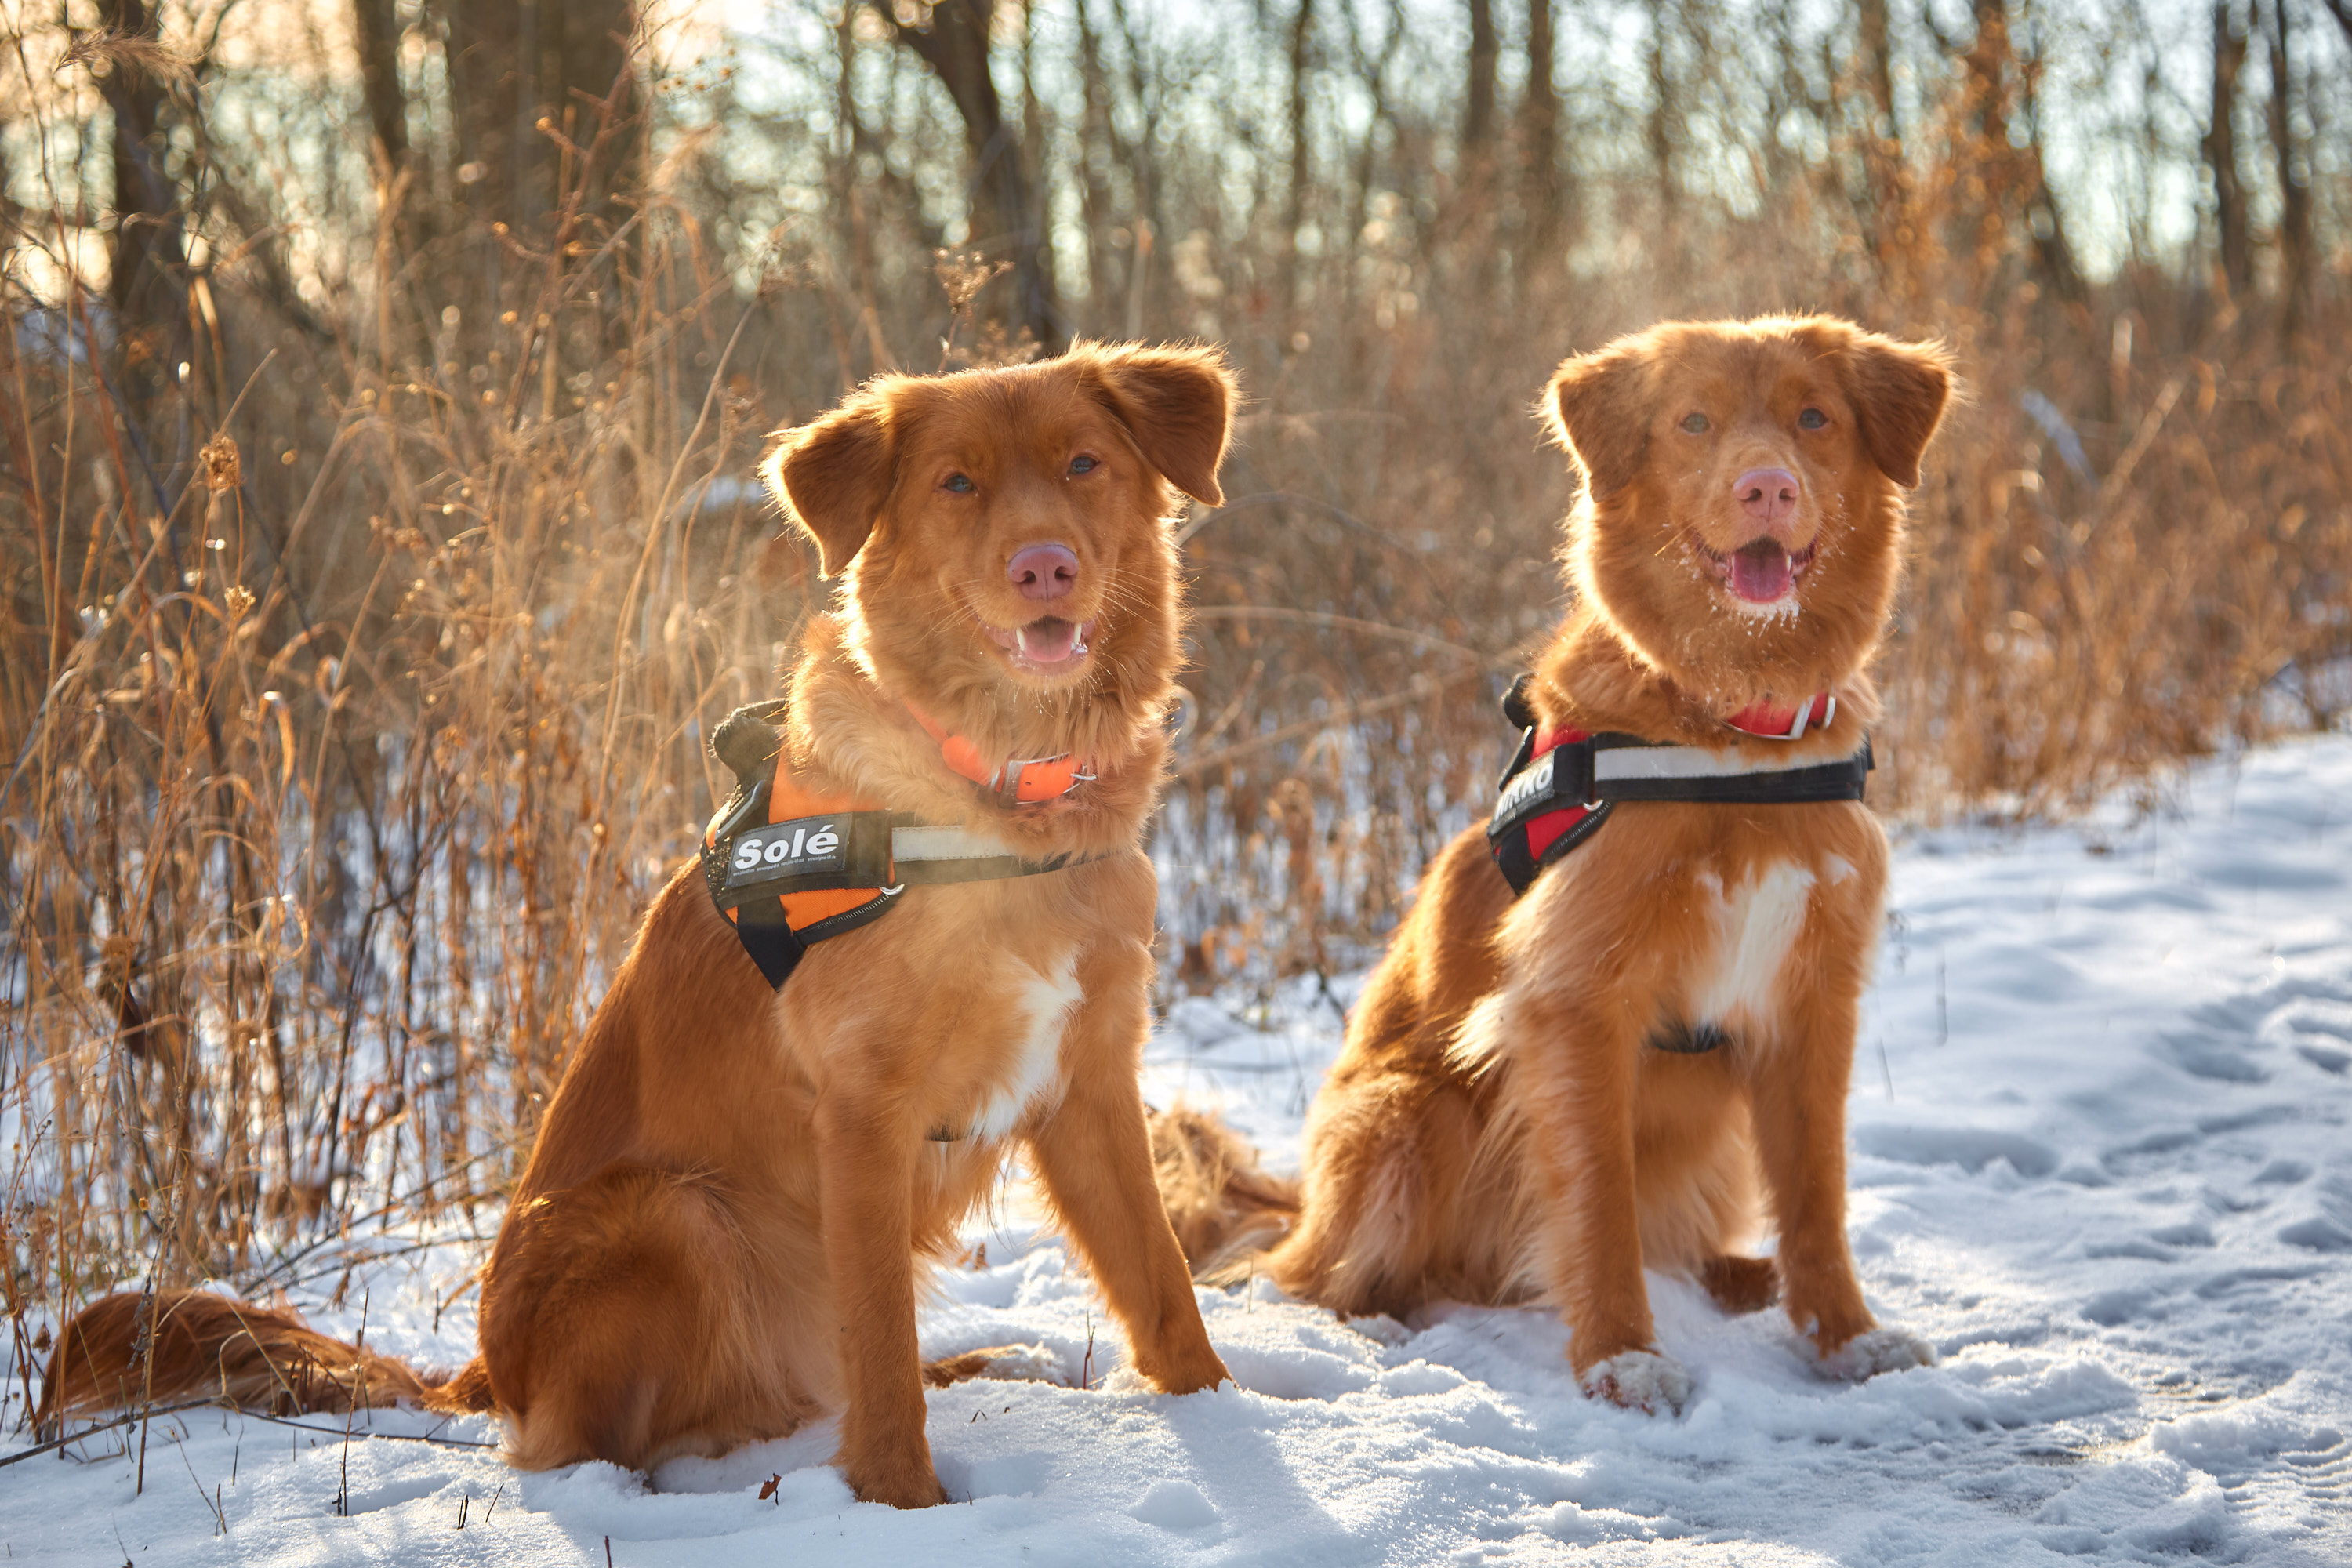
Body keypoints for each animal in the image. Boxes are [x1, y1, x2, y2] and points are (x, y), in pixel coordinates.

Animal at [45, 343, 1242, 1504]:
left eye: (1084, 462)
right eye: (958, 484)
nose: (1044, 566)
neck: (1001, 791)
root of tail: (485, 1372)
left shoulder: (1089, 1079)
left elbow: (1161, 1283)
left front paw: (1235, 1423)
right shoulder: (863, 1114)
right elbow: (882, 1350)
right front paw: (905, 1506)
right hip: (675, 1214)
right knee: (594, 1445)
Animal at [1152, 312, 1947, 1420]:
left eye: (1814, 418)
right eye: (1694, 421)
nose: (1768, 488)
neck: (1730, 734)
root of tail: (1300, 1204)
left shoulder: (1811, 1003)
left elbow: (1817, 1195)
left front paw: (1846, 1336)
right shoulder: (1576, 1006)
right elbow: (1598, 1201)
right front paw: (1622, 1359)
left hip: (1709, 1133)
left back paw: (1743, 1274)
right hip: (1409, 1113)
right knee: (1311, 1275)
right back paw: (1381, 1321)